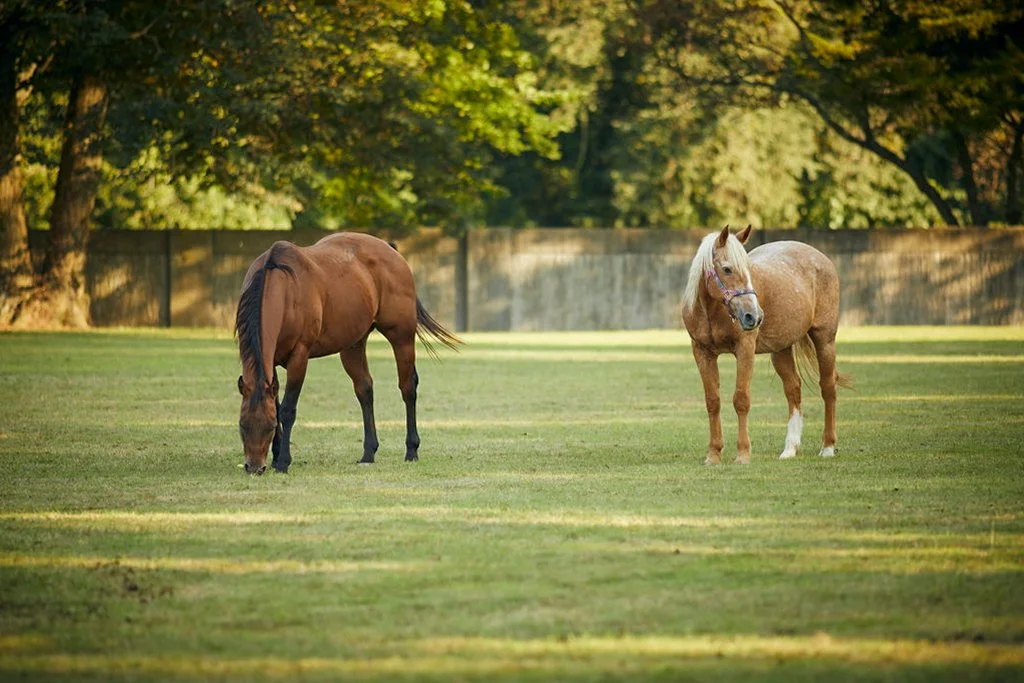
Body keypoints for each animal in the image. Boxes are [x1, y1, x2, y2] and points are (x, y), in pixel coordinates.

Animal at [234, 232, 460, 474]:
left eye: (269, 427)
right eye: (242, 425)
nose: (254, 467)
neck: (284, 286)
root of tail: (390, 249)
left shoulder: (299, 358)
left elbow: (287, 409)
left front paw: (283, 461)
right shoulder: (272, 362)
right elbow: (276, 405)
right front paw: (277, 457)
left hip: (402, 338)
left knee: (408, 388)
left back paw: (411, 450)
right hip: (353, 345)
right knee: (365, 389)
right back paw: (369, 452)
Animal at [681, 225, 851, 465]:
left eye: (749, 270)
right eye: (727, 269)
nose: (754, 316)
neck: (712, 312)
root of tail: (821, 258)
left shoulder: (745, 349)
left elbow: (741, 400)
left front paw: (743, 454)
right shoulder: (702, 353)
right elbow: (712, 401)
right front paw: (713, 455)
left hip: (825, 339)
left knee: (828, 388)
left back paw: (827, 447)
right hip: (781, 349)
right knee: (793, 389)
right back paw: (790, 449)